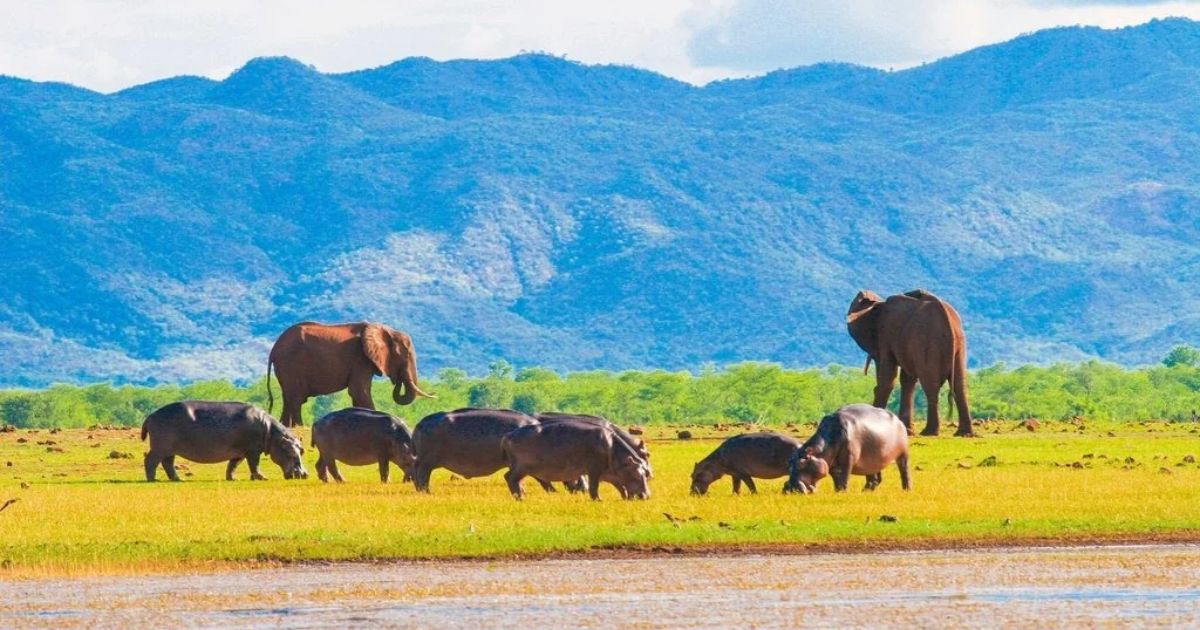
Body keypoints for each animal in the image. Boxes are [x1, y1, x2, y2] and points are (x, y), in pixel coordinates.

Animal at [140, 401, 307, 481]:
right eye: (291, 452)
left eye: (302, 450)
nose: (305, 474)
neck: (272, 433)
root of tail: (150, 415)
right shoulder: (252, 451)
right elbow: (254, 464)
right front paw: (262, 478)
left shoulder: (240, 452)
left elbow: (233, 465)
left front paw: (233, 479)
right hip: (160, 447)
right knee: (151, 460)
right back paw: (153, 479)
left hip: (169, 449)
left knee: (167, 463)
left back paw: (178, 479)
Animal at [266, 321, 434, 427]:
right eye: (406, 356)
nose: (397, 378)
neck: (385, 329)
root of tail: (273, 350)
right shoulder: (360, 358)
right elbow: (360, 391)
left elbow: (357, 394)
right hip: (291, 364)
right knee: (295, 398)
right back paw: (299, 426)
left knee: (288, 397)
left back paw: (285, 425)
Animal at [411, 408, 557, 493]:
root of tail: (419, 424)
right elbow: (543, 480)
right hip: (426, 462)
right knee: (422, 477)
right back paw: (427, 493)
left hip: (425, 462)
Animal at [501, 420, 651, 501]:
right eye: (637, 475)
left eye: (645, 473)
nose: (648, 496)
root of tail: (508, 435)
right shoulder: (594, 470)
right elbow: (594, 486)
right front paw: (599, 500)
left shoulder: (611, 473)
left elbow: (620, 486)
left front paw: (624, 497)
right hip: (521, 467)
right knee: (510, 477)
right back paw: (520, 498)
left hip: (527, 468)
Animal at [847, 289, 973, 437]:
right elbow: (907, 380)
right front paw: (907, 431)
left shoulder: (886, 335)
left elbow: (888, 378)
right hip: (959, 346)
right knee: (959, 385)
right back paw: (964, 434)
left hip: (927, 343)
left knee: (931, 384)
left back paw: (929, 432)